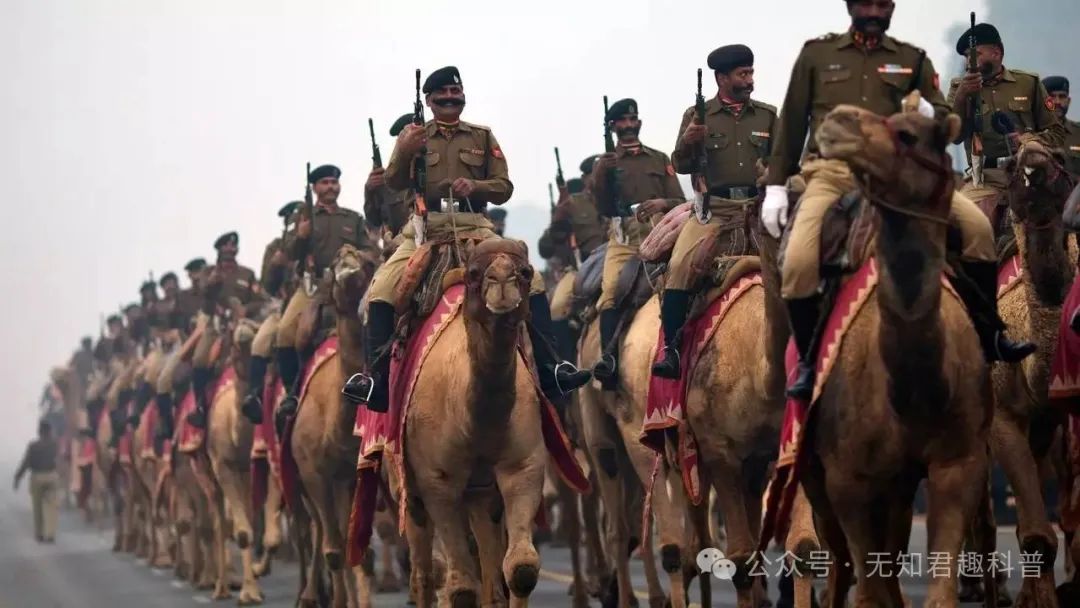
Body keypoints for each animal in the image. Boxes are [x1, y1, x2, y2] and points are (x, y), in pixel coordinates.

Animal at [289, 244, 382, 608]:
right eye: (332, 265)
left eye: (369, 262)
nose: (347, 253)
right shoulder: (314, 474)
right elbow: (334, 551)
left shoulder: (352, 475)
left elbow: (358, 552)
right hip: (303, 483)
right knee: (313, 532)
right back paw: (308, 594)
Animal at [790, 104, 989, 608]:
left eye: (909, 134)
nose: (838, 121)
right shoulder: (849, 479)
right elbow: (868, 588)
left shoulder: (958, 464)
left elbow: (937, 590)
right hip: (816, 471)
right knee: (840, 562)